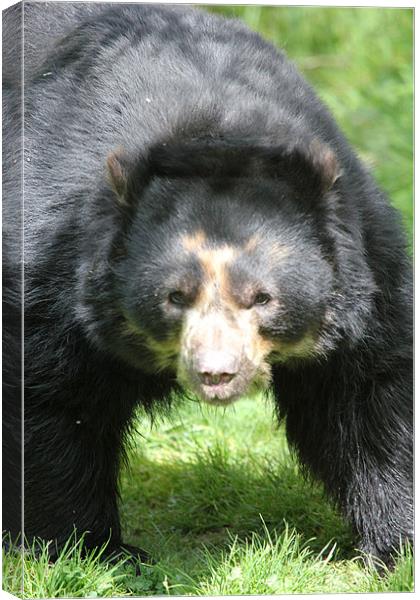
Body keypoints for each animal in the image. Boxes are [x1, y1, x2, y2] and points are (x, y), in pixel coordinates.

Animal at [2, 2, 414, 568]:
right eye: (176, 297)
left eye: (263, 298)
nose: (216, 374)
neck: (212, 124)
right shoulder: (47, 264)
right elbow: (53, 401)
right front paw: (90, 550)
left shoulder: (368, 262)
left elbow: (369, 395)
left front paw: (396, 548)